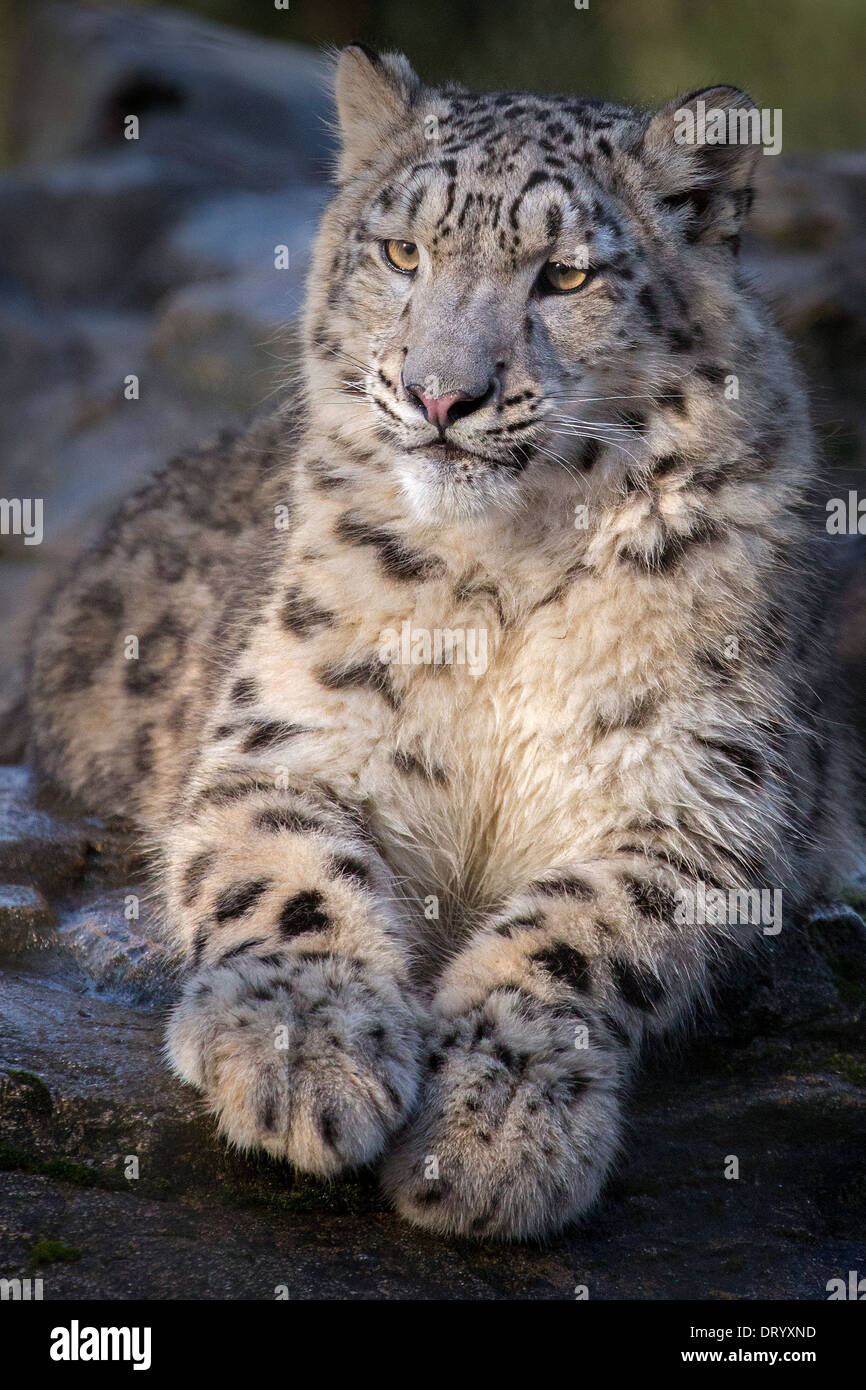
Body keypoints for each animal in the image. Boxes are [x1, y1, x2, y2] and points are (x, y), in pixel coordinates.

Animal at [27, 46, 861, 1239]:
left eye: (565, 276)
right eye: (401, 252)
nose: (439, 393)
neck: (509, 569)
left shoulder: (697, 801)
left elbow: (581, 929)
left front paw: (494, 1129)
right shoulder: (288, 739)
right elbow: (286, 871)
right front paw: (299, 1056)